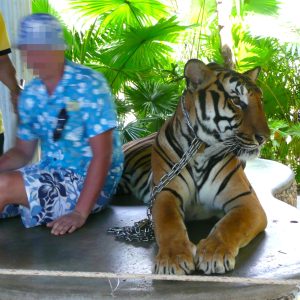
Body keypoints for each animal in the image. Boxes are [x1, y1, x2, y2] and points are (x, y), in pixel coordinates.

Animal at [117, 58, 270, 274]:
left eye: (260, 101)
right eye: (236, 100)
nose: (265, 138)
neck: (200, 149)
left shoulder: (246, 201)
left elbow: (230, 225)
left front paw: (215, 253)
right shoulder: (165, 194)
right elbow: (169, 224)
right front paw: (173, 259)